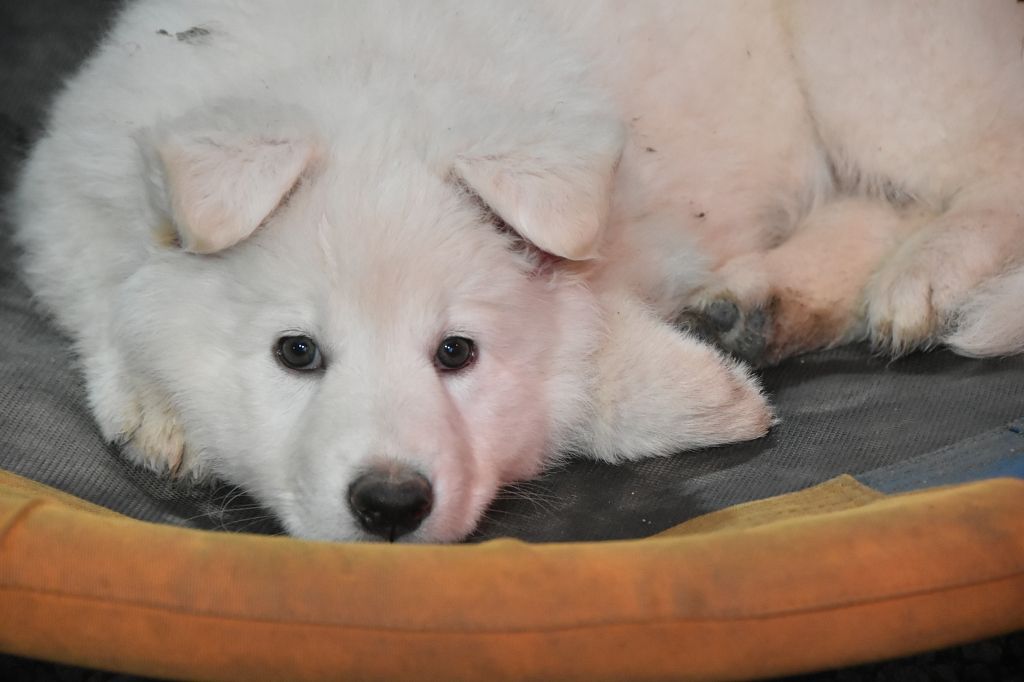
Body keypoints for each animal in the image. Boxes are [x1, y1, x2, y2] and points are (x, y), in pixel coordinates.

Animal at [13, 1, 1024, 542]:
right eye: (296, 353)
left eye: (455, 353)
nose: (390, 505)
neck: (366, 65)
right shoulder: (68, 204)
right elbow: (105, 296)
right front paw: (156, 405)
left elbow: (591, 380)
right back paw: (764, 302)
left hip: (876, 64)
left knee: (986, 170)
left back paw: (928, 278)